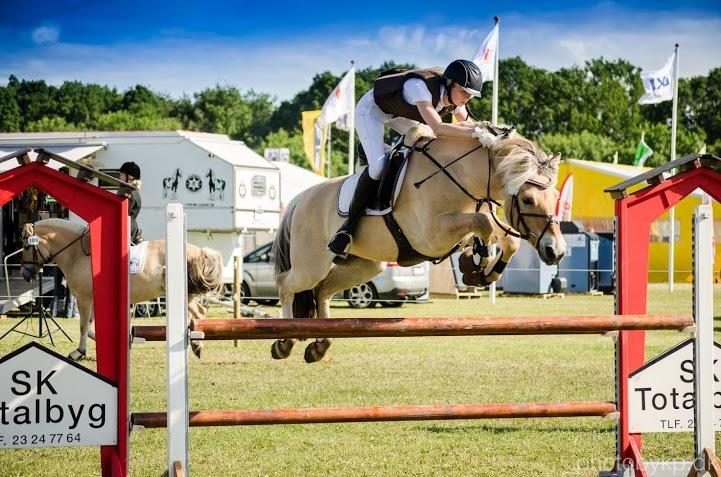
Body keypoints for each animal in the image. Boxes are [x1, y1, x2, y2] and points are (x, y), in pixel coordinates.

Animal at [19, 218, 222, 358]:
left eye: (26, 247)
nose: (25, 274)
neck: (77, 253)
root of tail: (199, 251)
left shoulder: (84, 298)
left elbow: (83, 326)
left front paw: (79, 352)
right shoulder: (92, 299)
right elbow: (90, 326)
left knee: (198, 312)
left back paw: (196, 345)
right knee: (199, 312)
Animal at [272, 122, 564, 360]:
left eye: (556, 196)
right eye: (528, 199)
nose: (557, 252)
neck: (460, 175)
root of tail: (300, 200)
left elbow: (503, 236)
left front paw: (481, 270)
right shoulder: (431, 237)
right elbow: (485, 223)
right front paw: (479, 262)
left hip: (364, 265)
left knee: (322, 291)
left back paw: (320, 346)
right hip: (311, 265)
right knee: (286, 284)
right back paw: (284, 342)